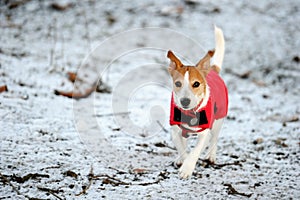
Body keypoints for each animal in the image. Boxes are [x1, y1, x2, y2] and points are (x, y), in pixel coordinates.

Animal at [166, 25, 227, 179]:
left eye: (196, 84)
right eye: (178, 83)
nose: (185, 101)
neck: (190, 112)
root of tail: (212, 69)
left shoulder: (204, 132)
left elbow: (195, 151)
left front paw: (187, 169)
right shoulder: (175, 130)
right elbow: (182, 148)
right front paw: (182, 160)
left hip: (219, 120)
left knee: (214, 138)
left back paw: (211, 156)